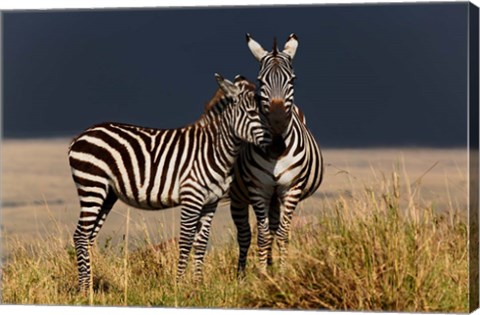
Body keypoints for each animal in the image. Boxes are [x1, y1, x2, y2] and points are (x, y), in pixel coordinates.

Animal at [68, 74, 272, 292]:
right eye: (252, 113)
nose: (276, 143)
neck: (214, 149)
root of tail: (80, 135)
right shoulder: (192, 197)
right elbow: (186, 240)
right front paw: (179, 285)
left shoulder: (211, 202)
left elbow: (201, 242)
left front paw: (198, 285)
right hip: (92, 185)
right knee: (80, 235)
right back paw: (84, 290)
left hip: (107, 194)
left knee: (88, 236)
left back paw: (90, 286)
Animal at [231, 34, 324, 276]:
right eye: (261, 81)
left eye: (292, 80)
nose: (278, 121)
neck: (276, 149)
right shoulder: (258, 189)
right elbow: (262, 236)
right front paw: (263, 274)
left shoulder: (291, 188)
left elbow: (282, 233)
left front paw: (281, 273)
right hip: (238, 196)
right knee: (244, 235)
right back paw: (241, 274)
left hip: (276, 196)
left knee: (274, 228)